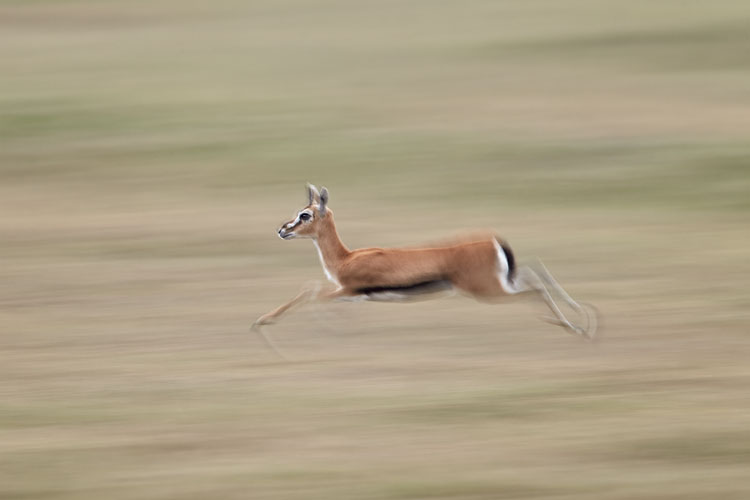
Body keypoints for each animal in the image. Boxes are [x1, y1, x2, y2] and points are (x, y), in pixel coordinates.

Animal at [252, 184, 597, 355]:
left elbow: (309, 291)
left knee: (535, 287)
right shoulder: (350, 295)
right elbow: (313, 293)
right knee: (536, 272)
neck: (345, 257)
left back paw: (574, 327)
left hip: (489, 291)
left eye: (305, 215)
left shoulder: (347, 289)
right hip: (502, 282)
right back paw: (586, 322)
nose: (282, 230)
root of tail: (494, 240)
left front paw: (265, 326)